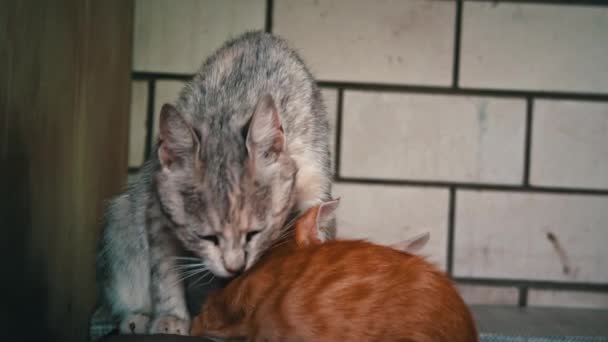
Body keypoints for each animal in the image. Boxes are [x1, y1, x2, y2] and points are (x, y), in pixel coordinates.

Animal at [96, 30, 332, 336]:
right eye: (204, 236)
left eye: (255, 232)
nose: (235, 268)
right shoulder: (156, 208)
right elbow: (164, 269)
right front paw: (170, 317)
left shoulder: (316, 177)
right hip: (121, 221)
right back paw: (136, 317)